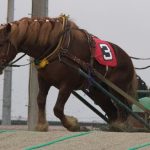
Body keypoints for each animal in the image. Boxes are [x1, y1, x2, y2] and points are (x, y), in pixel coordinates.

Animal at [0, 14, 137, 131]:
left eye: (1, 43)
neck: (57, 47)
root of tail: (128, 59)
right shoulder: (44, 80)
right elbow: (40, 100)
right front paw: (42, 125)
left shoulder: (67, 84)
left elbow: (57, 109)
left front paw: (72, 124)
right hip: (97, 91)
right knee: (113, 110)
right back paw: (115, 126)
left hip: (117, 88)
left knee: (123, 108)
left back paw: (121, 125)